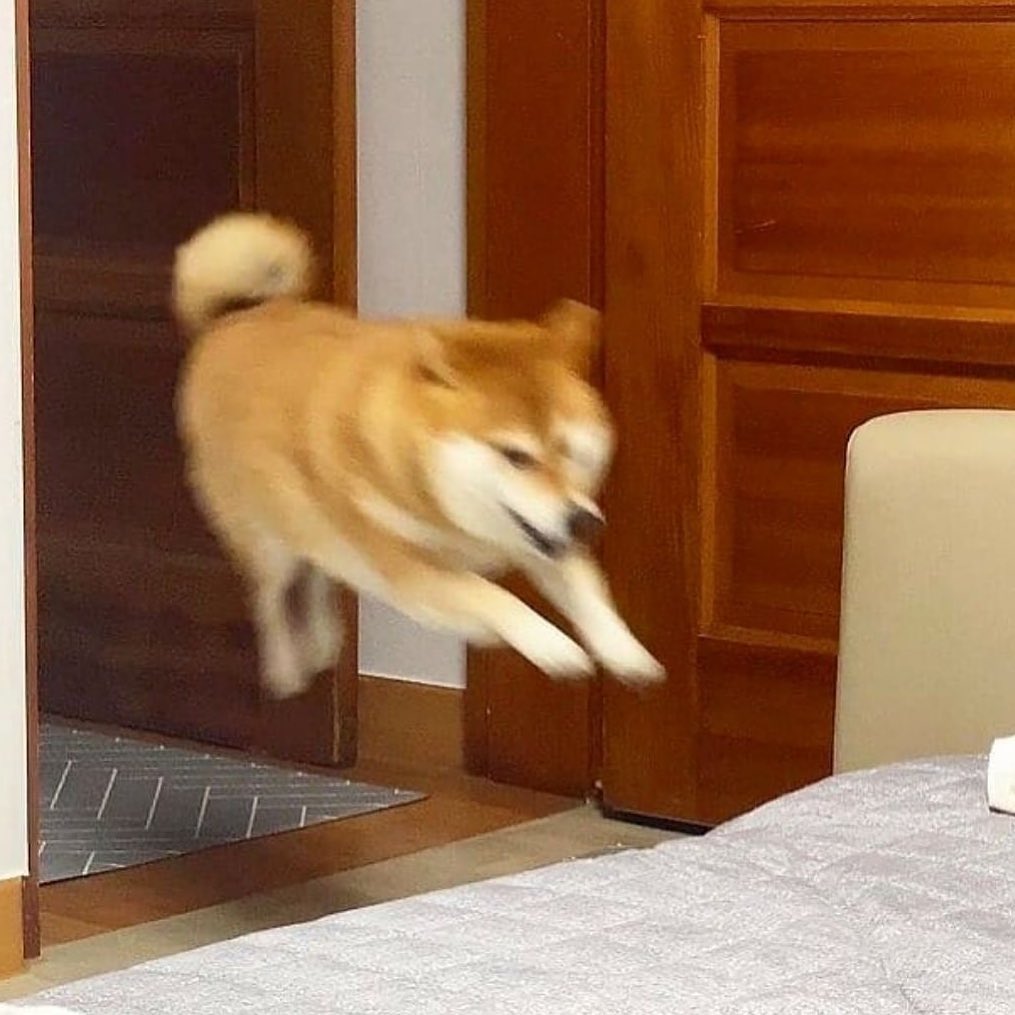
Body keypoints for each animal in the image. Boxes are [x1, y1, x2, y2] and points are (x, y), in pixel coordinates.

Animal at [173, 213, 664, 698]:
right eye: (516, 455)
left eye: (568, 448)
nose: (585, 523)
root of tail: (234, 319)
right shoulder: (412, 573)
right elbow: (493, 596)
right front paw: (552, 646)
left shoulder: (546, 542)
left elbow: (589, 594)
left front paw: (625, 652)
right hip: (265, 539)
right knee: (271, 595)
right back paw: (285, 667)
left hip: (311, 528)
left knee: (318, 573)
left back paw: (324, 639)